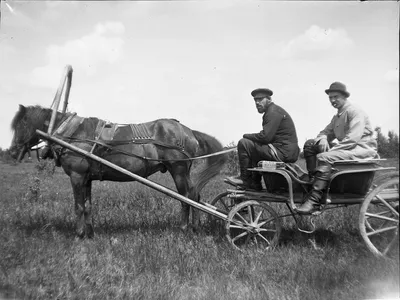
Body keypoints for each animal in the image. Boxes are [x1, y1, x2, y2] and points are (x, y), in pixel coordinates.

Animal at [9, 104, 227, 238]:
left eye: (21, 124)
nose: (12, 151)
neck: (72, 134)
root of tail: (188, 131)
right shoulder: (86, 178)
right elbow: (87, 205)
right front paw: (89, 233)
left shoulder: (77, 176)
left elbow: (78, 206)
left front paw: (79, 234)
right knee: (195, 194)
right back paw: (195, 227)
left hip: (179, 169)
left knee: (186, 197)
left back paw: (184, 229)